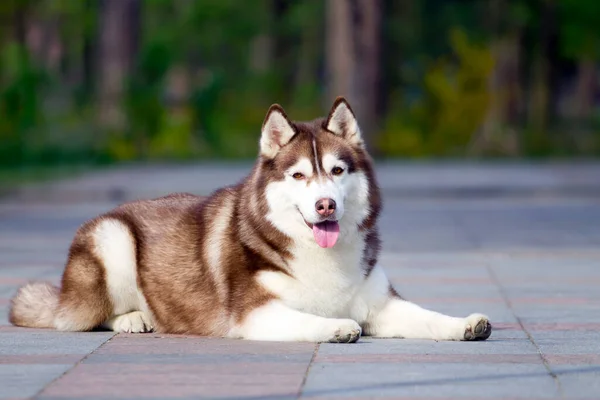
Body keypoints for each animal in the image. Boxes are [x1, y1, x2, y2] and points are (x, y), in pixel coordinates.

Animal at [9, 97, 492, 344]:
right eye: (299, 175)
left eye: (337, 171)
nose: (325, 206)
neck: (321, 259)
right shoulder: (256, 314)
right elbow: (309, 319)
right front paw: (337, 325)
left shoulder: (382, 305)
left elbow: (427, 316)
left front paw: (464, 323)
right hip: (113, 239)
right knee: (82, 317)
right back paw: (130, 318)